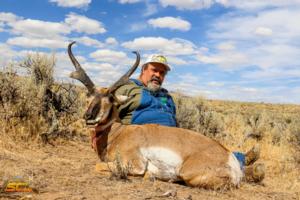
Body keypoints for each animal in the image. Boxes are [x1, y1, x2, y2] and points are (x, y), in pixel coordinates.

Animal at [67, 41, 244, 189]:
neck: (118, 132)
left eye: (110, 99)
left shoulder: (134, 164)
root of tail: (229, 156)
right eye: (88, 97)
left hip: (186, 173)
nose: (89, 116)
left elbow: (98, 166)